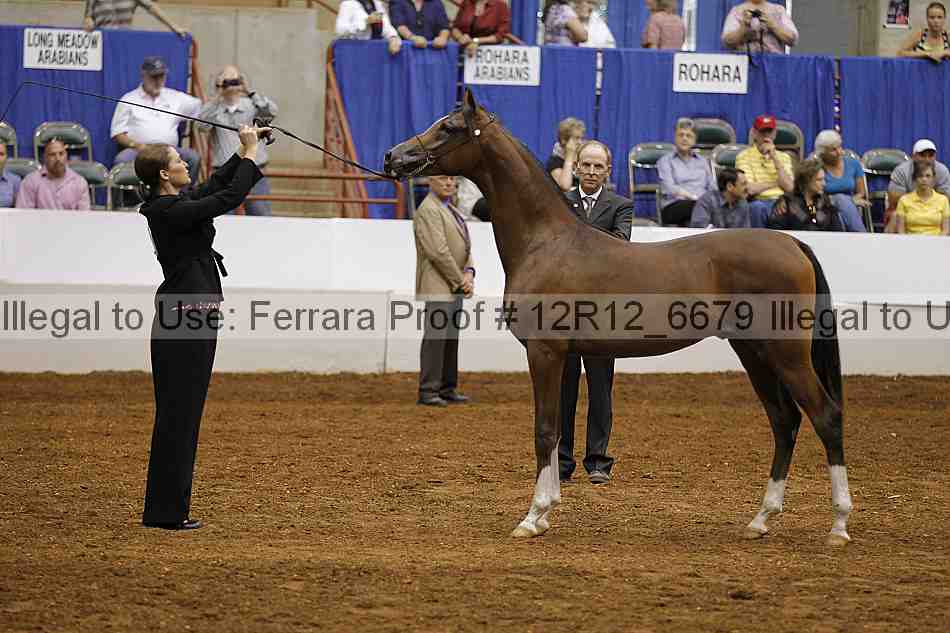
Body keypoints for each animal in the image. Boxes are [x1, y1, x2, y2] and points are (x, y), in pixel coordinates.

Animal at [384, 89, 853, 546]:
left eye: (449, 127)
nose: (393, 156)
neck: (546, 242)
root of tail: (793, 243)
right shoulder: (562, 355)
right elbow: (557, 430)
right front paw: (546, 512)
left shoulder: (544, 352)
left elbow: (544, 430)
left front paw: (532, 517)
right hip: (754, 352)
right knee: (785, 421)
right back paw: (761, 520)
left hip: (785, 354)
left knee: (825, 417)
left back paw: (838, 526)